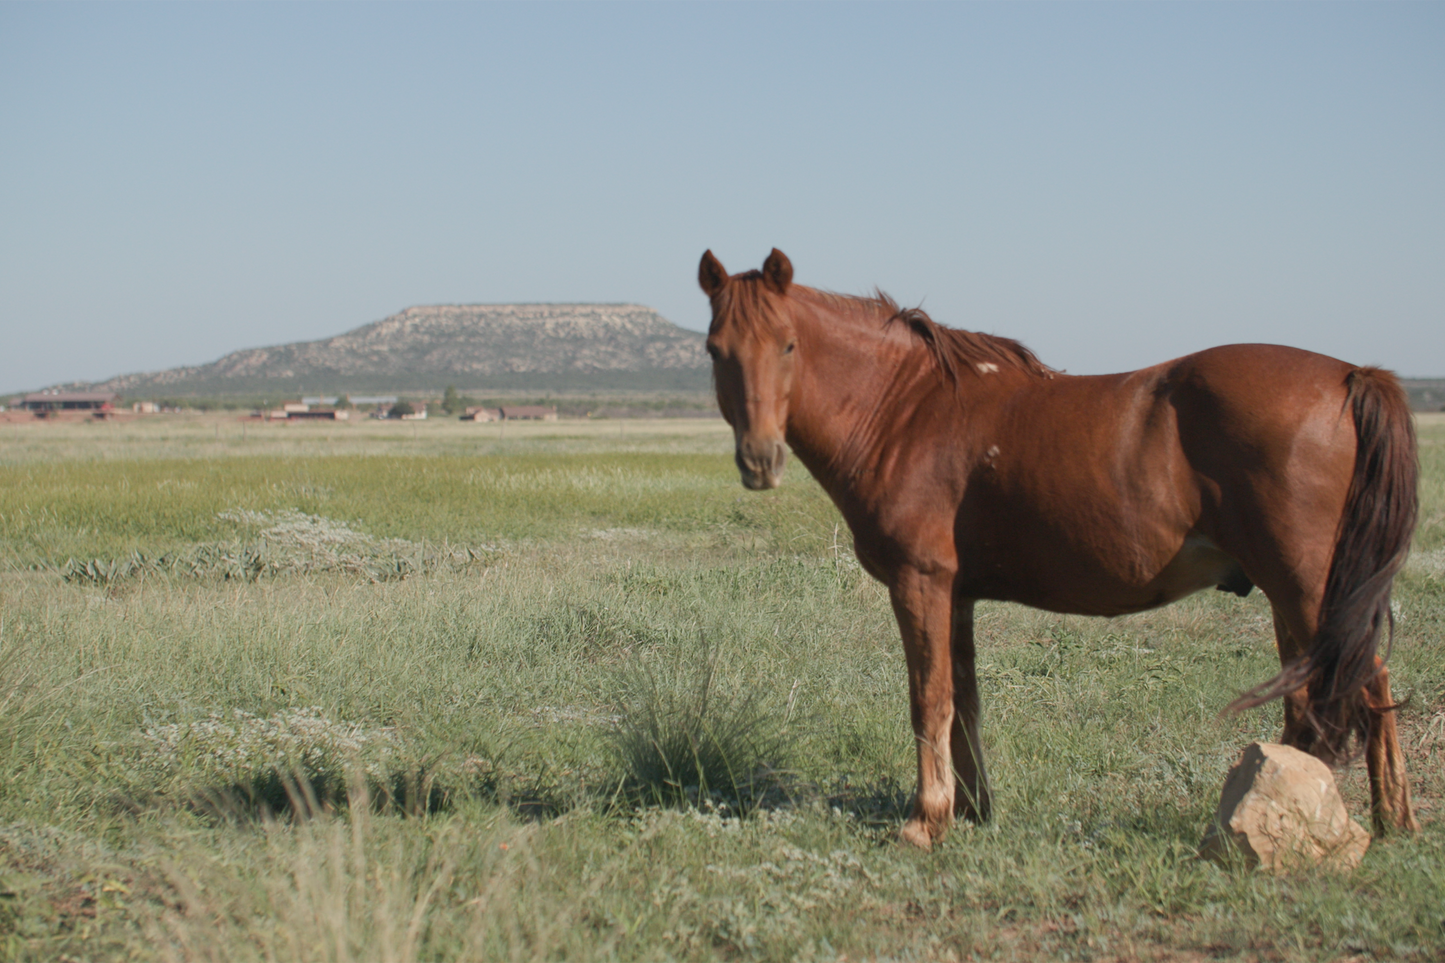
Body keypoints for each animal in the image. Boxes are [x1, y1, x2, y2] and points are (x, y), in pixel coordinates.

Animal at [699, 244, 1421, 844]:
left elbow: (928, 698)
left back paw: (1388, 820)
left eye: (788, 345)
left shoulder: (920, 582)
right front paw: (971, 809)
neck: (904, 412)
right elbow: (964, 702)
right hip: (1288, 595)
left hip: (1308, 590)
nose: (759, 460)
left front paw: (925, 820)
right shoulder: (957, 596)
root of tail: (1350, 375)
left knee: (1364, 683)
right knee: (1315, 699)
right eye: (714, 349)